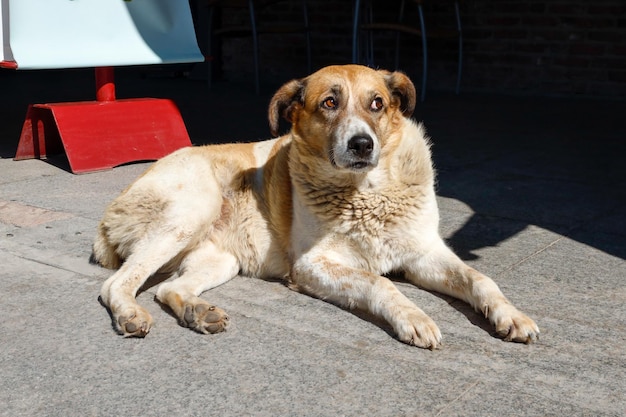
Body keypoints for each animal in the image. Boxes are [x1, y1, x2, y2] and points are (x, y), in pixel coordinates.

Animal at [94, 63, 536, 348]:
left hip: (221, 260)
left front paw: (511, 315)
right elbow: (380, 282)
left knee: (168, 288)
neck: (366, 193)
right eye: (329, 103)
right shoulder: (311, 266)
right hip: (191, 212)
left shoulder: (424, 254)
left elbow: (478, 279)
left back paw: (197, 313)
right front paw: (414, 318)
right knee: (116, 284)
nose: (362, 145)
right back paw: (130, 314)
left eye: (377, 103)